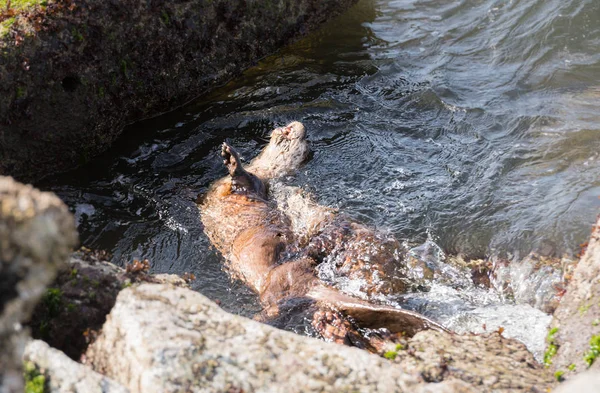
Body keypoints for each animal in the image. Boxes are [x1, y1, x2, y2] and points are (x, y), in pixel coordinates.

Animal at [198, 120, 446, 350]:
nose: (297, 126)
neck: (264, 173)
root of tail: (312, 283)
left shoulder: (253, 185)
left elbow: (242, 179)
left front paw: (231, 159)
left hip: (276, 284)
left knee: (276, 304)